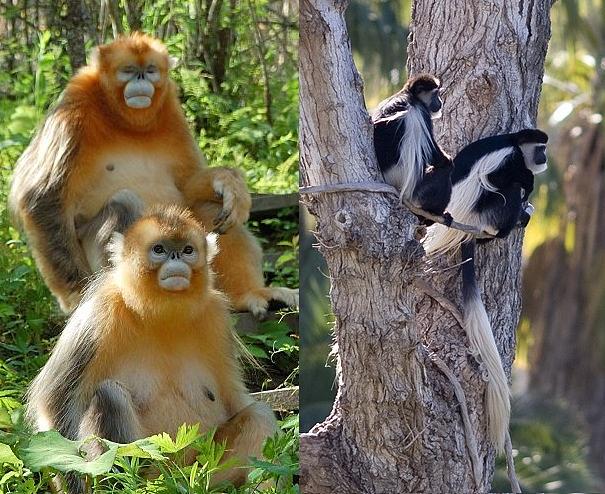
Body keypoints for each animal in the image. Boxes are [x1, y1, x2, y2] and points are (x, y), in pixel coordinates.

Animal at [370, 73, 450, 224]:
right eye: (435, 94)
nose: (441, 102)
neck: (410, 95)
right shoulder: (421, 113)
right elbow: (435, 155)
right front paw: (448, 159)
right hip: (414, 190)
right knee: (443, 173)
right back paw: (434, 214)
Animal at [424, 127, 548, 452]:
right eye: (540, 148)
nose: (545, 158)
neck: (515, 143)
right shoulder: (507, 158)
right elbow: (501, 179)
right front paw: (528, 182)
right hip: (485, 212)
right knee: (510, 189)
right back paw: (508, 224)